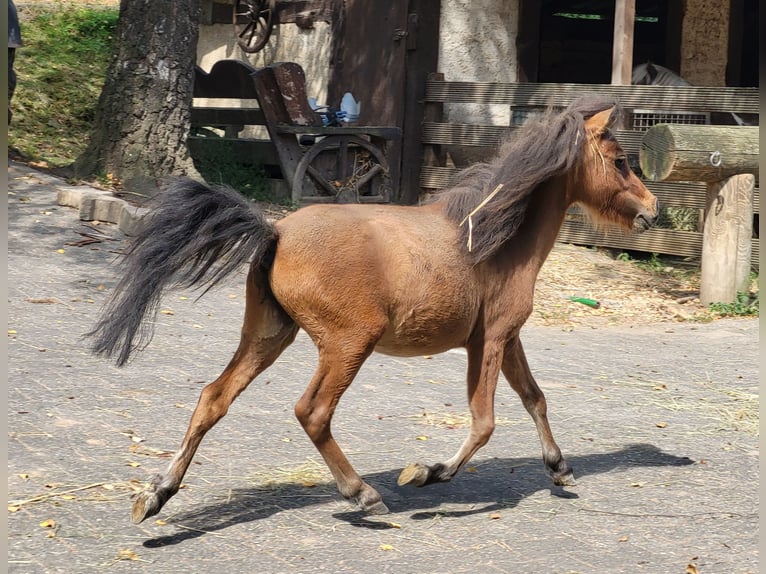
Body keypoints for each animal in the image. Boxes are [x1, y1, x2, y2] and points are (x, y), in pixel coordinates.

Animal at [87, 95, 656, 528]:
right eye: (621, 161)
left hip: (269, 335)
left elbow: (536, 399)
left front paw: (560, 469)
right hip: (348, 343)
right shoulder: (492, 340)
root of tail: (274, 231)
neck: (495, 238)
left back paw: (157, 494)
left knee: (213, 398)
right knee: (312, 411)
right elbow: (484, 422)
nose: (652, 211)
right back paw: (363, 494)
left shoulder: (505, 339)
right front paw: (426, 472)